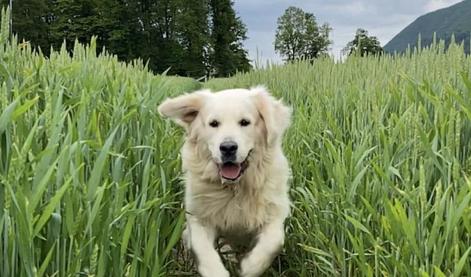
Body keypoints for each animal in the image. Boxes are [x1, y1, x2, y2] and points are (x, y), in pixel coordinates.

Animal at [159, 86, 292, 276]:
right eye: (214, 123)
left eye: (244, 122)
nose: (228, 147)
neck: (234, 188)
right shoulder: (198, 217)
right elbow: (203, 250)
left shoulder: (274, 211)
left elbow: (274, 242)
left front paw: (249, 266)